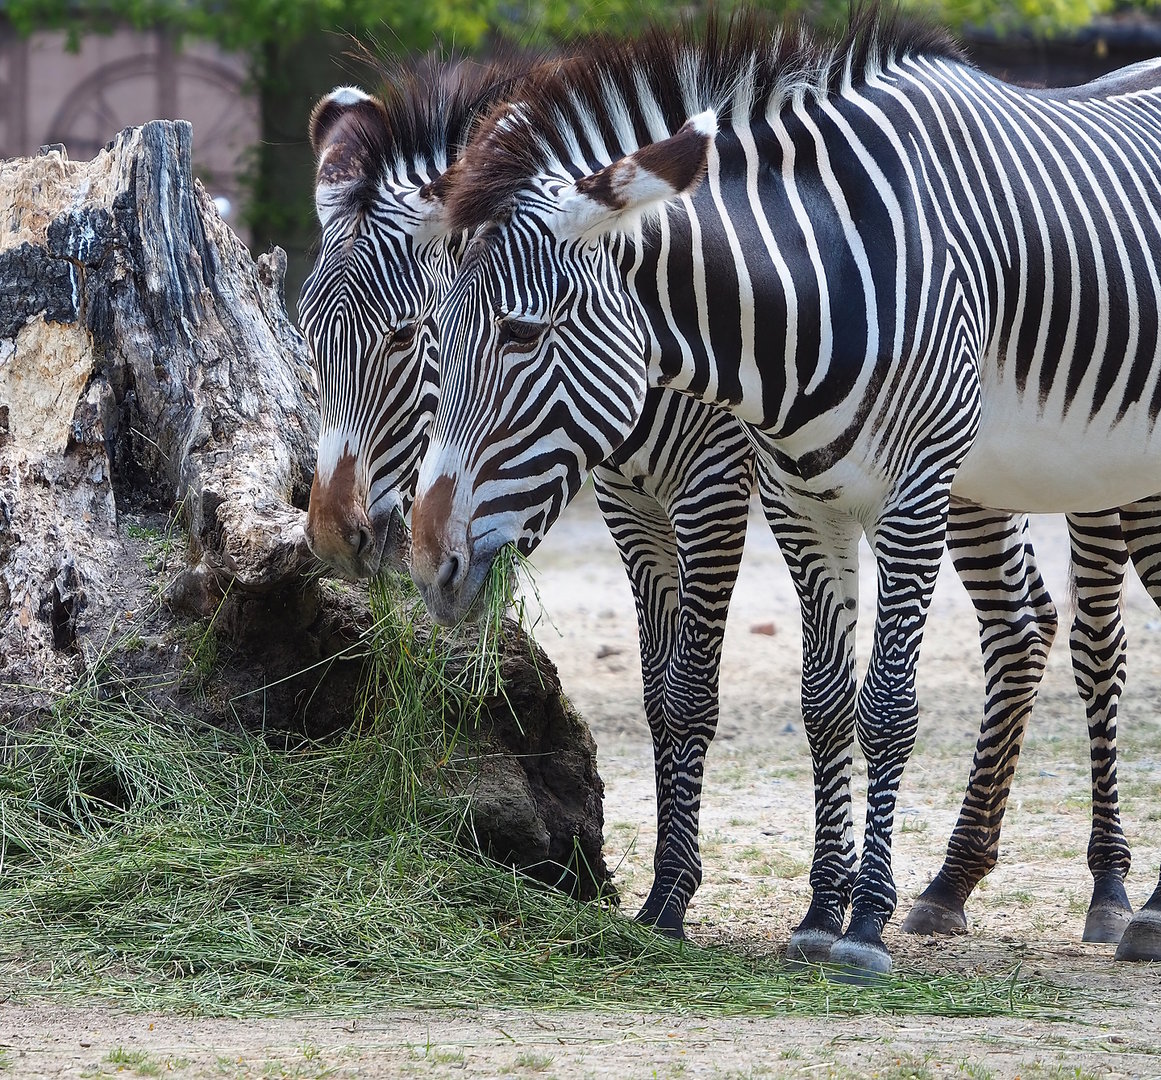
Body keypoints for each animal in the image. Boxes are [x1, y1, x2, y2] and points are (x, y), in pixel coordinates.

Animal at [408, 9, 1161, 973]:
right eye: (435, 328)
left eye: (520, 333)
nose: (429, 558)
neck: (818, 284)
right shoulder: (798, 505)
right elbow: (822, 705)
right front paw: (816, 914)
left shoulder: (890, 494)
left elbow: (882, 706)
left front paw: (863, 925)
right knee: (1024, 624)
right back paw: (961, 888)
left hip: (1103, 481)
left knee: (1096, 647)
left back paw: (1123, 901)